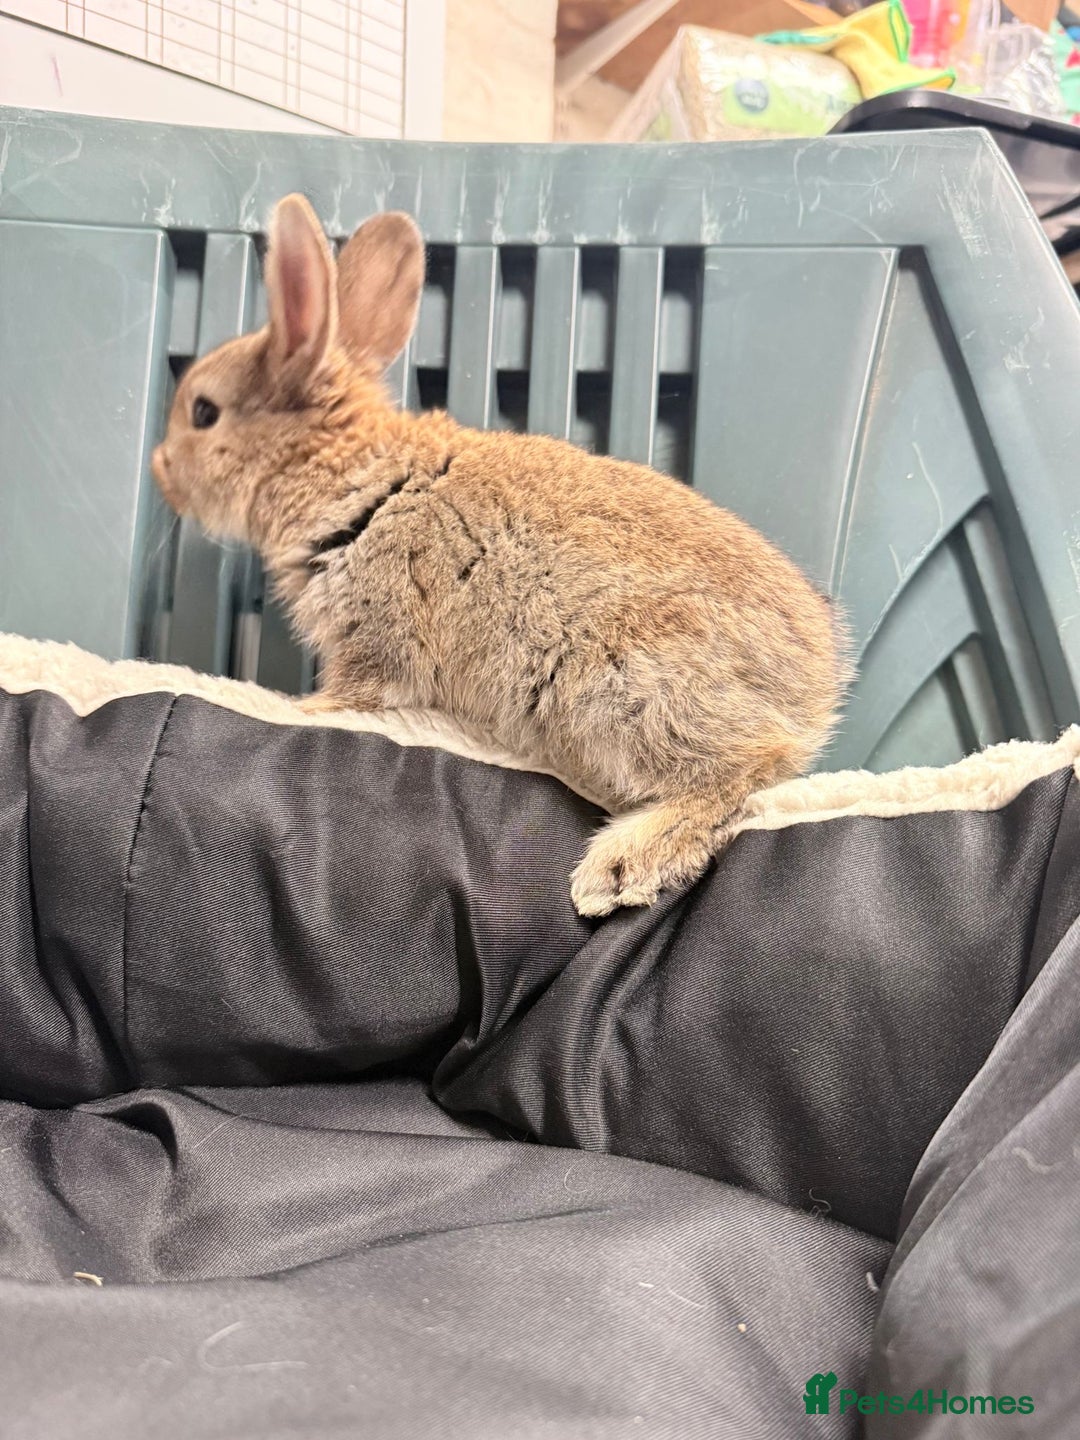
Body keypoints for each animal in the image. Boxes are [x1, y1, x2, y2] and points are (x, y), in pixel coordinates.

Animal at [151, 194, 848, 918]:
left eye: (203, 412)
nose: (158, 469)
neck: (349, 473)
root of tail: (819, 688)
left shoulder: (377, 635)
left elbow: (358, 690)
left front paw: (299, 708)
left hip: (624, 690)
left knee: (745, 768)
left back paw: (617, 867)